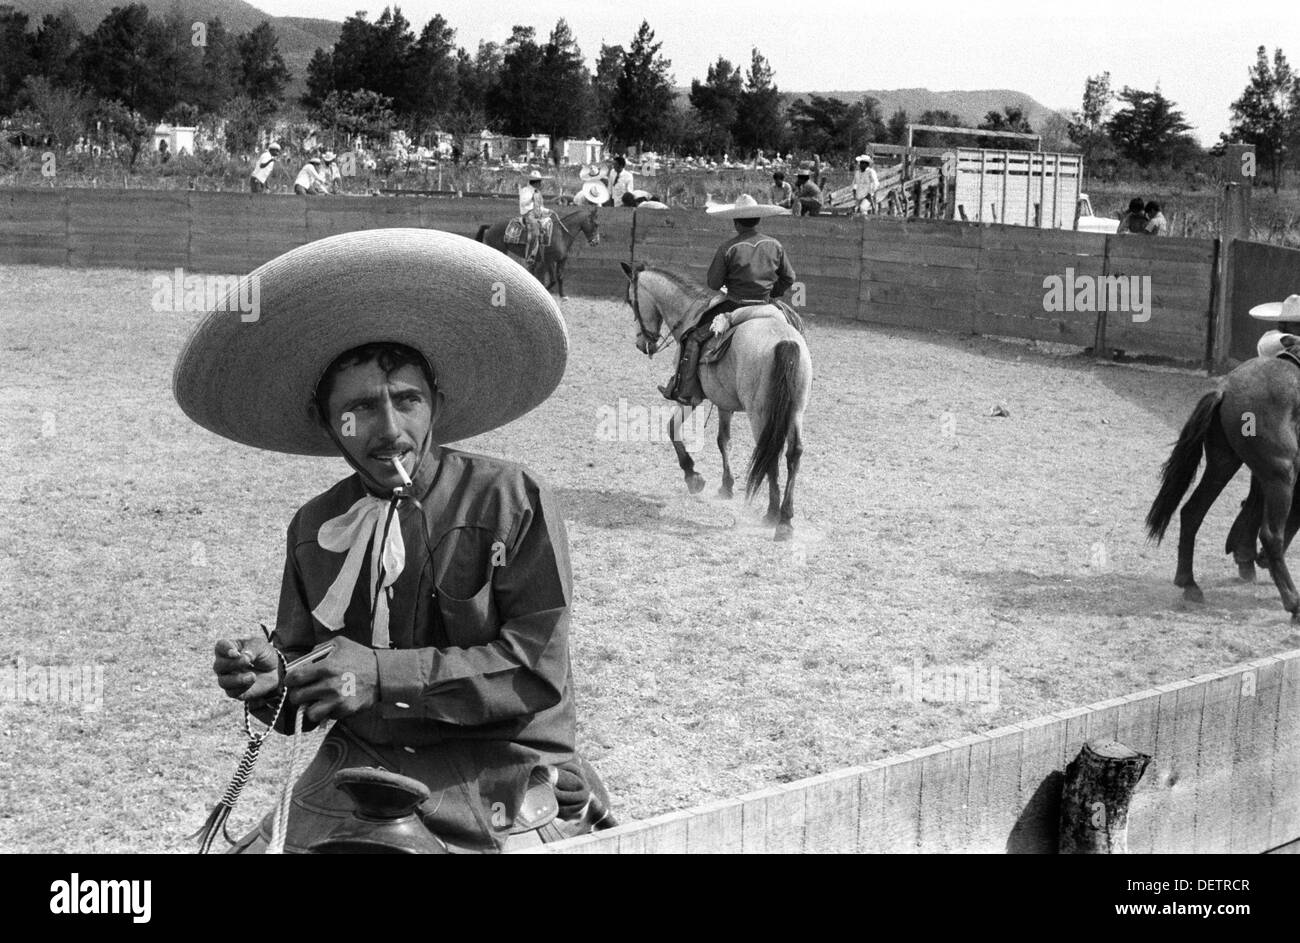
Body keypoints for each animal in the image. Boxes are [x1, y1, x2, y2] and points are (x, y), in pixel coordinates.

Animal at [1149, 353, 1300, 619]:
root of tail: (1226, 388)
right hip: (1280, 474)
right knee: (1271, 534)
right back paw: (1292, 601)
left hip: (1223, 463)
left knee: (1192, 512)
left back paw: (1190, 584)